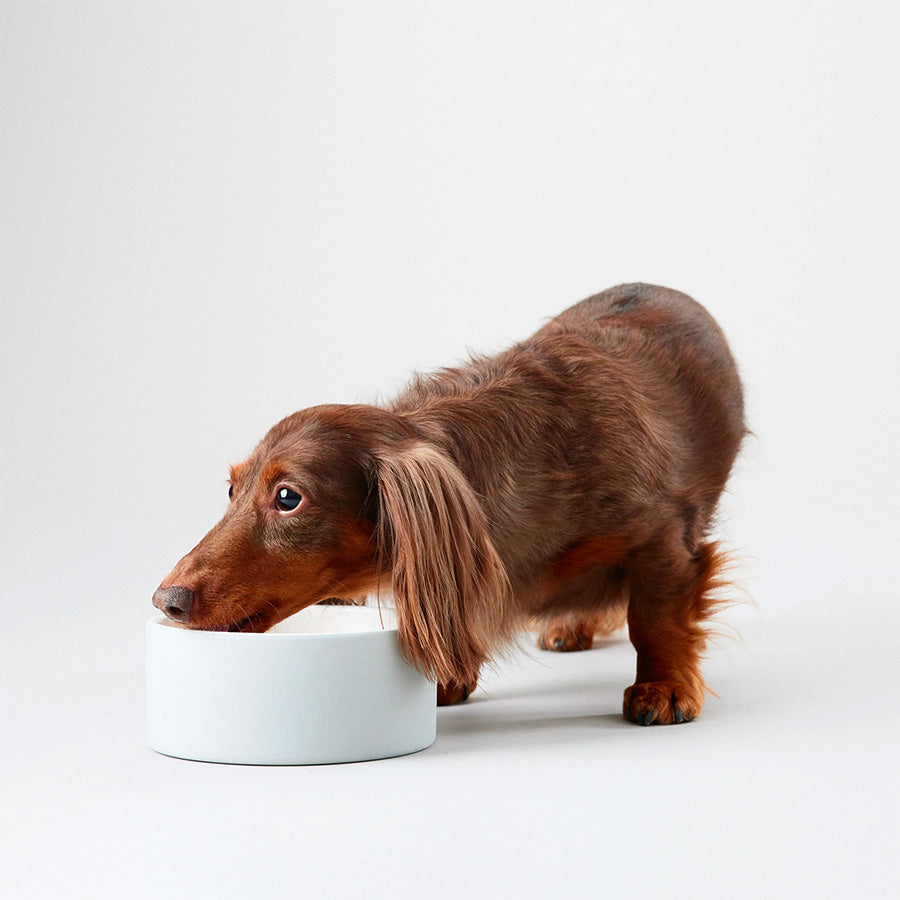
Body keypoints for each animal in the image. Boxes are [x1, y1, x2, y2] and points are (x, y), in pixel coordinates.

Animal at [153, 284, 744, 728]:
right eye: (231, 489)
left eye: (287, 497)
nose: (167, 601)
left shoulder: (665, 537)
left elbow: (654, 617)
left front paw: (663, 686)